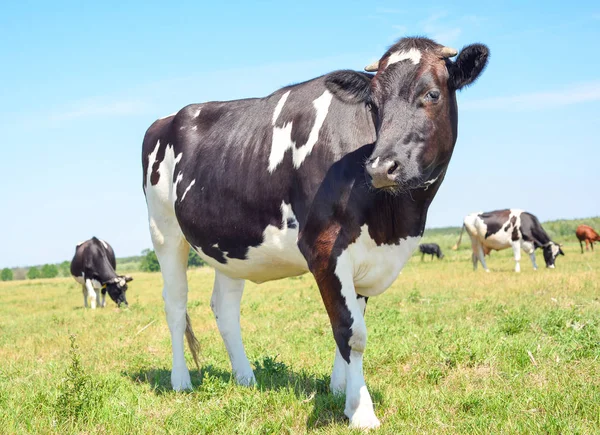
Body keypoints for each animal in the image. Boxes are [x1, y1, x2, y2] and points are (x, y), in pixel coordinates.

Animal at [143, 36, 490, 430]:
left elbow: (352, 324)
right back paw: (181, 382)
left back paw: (246, 378)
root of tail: (168, 118)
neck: (395, 221)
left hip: (230, 245)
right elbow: (351, 332)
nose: (380, 167)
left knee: (225, 307)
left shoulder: (365, 258)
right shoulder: (324, 248)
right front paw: (362, 411)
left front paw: (342, 394)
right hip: (164, 230)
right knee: (175, 304)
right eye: (372, 102)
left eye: (432, 94)